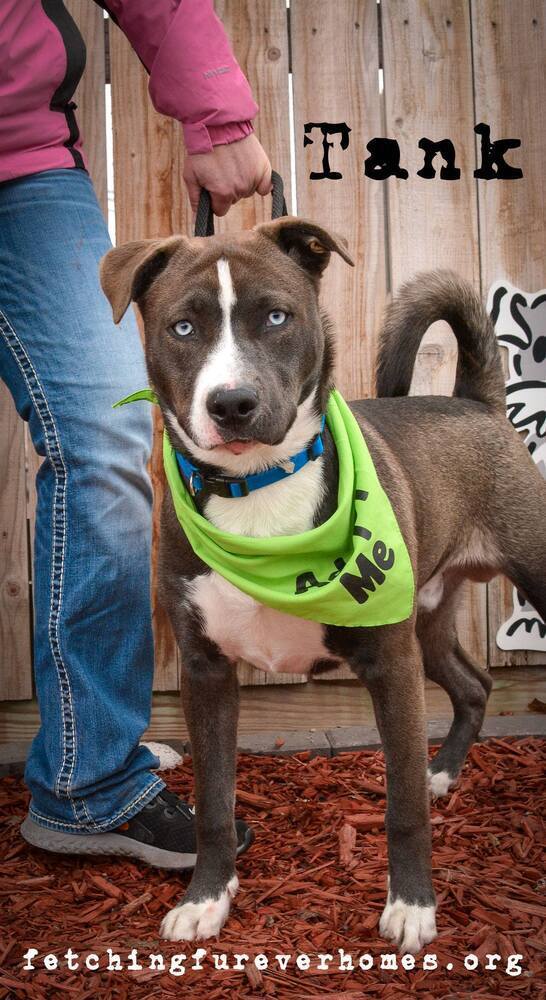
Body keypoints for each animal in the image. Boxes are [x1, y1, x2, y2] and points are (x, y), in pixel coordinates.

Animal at [100, 219, 540, 952]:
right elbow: (213, 805)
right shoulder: (205, 671)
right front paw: (206, 899)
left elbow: (402, 807)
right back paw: (442, 771)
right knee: (475, 684)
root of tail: (475, 401)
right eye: (182, 327)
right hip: (428, 616)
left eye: (277, 317)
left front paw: (413, 907)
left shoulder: (390, 663)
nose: (233, 404)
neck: (259, 486)